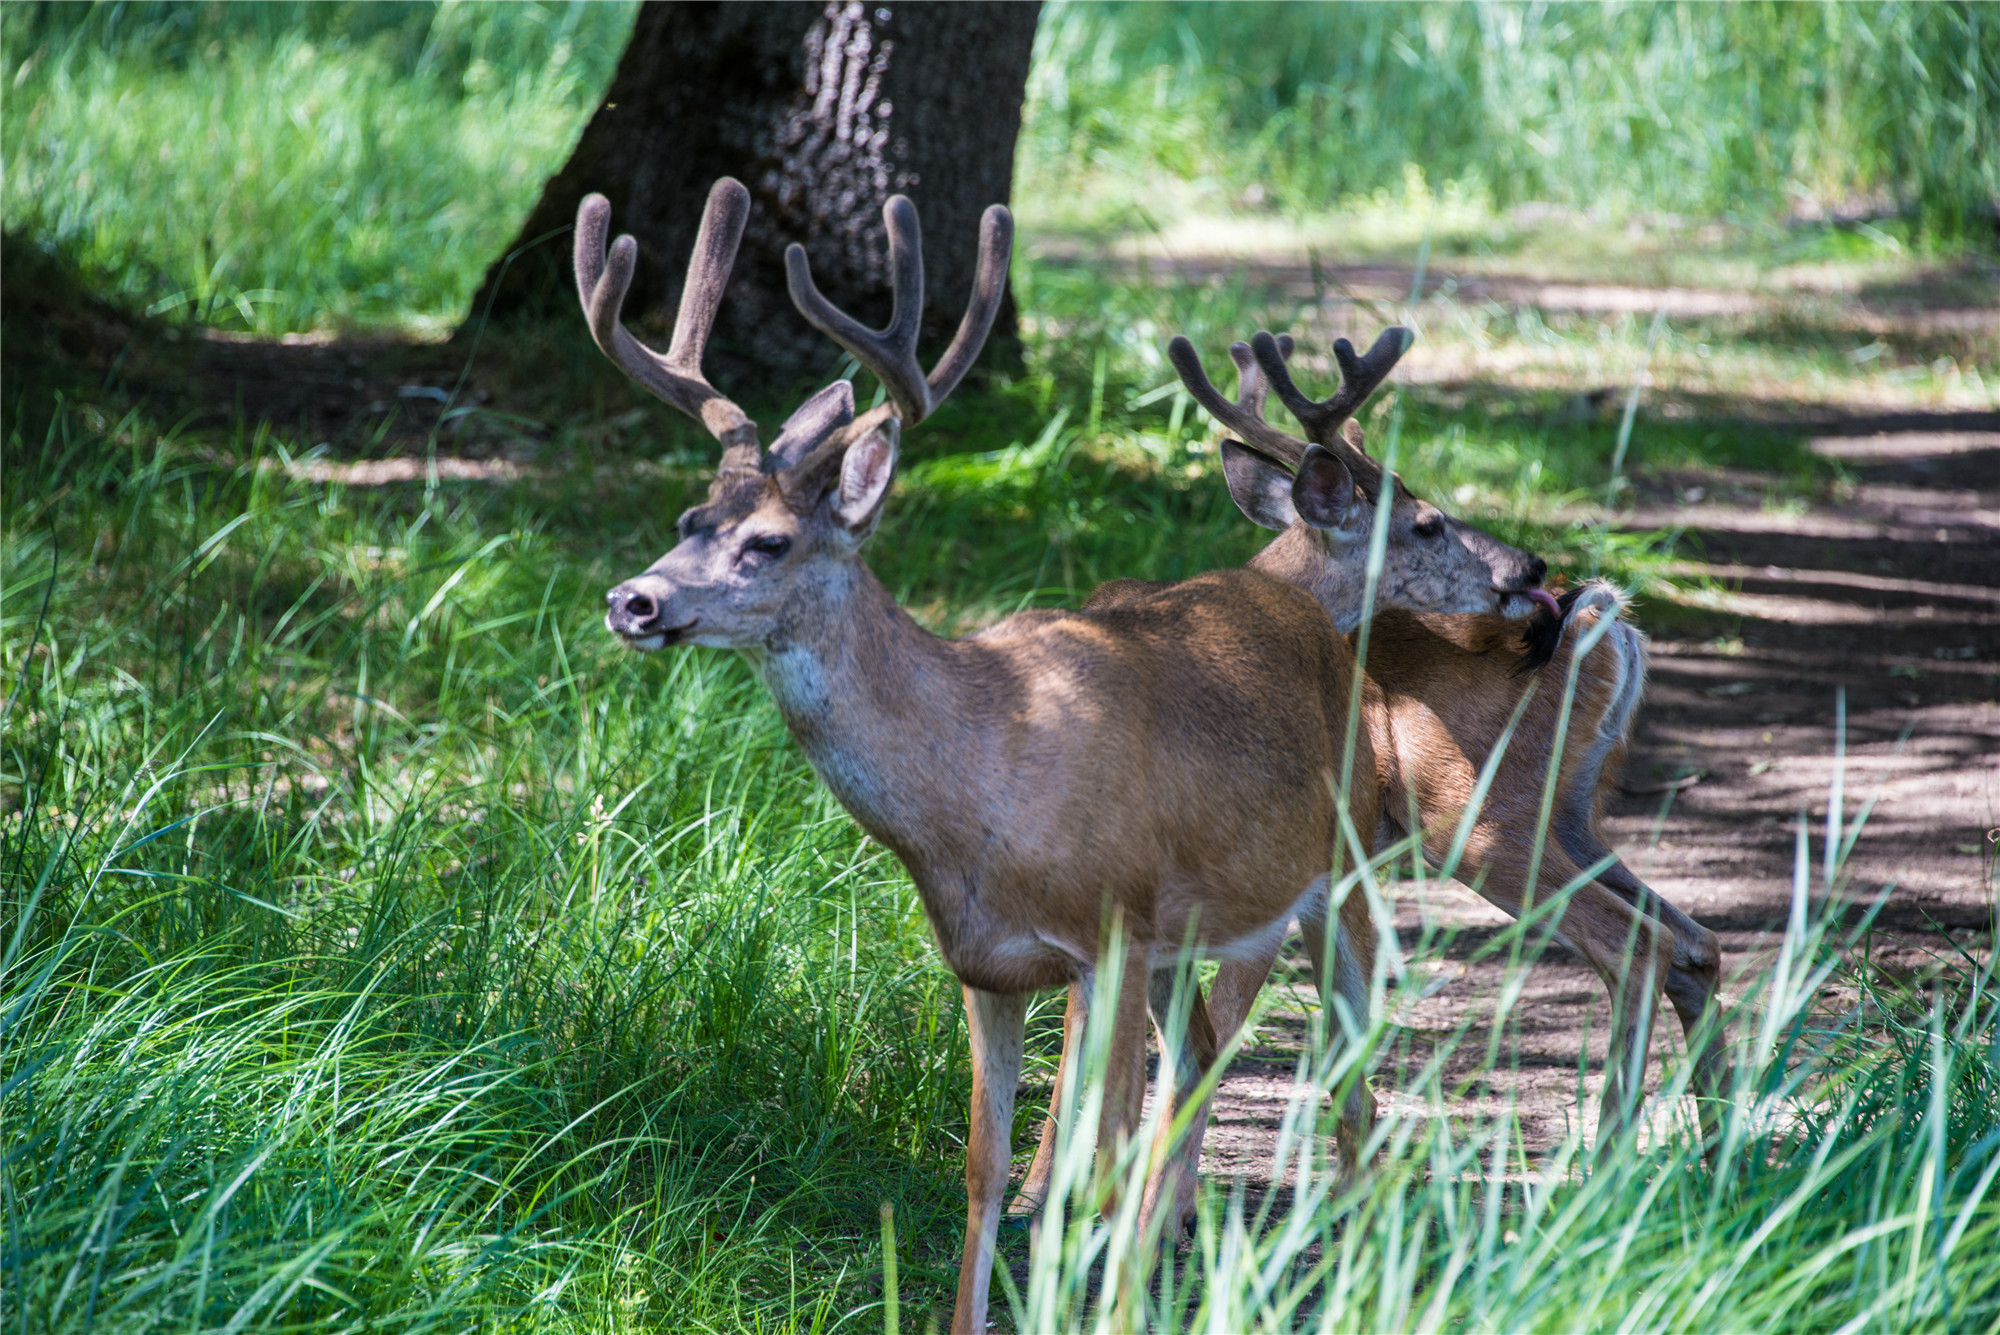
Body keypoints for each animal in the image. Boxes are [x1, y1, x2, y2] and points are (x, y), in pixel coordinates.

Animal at [580, 176, 1392, 1335]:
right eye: (691, 515)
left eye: (766, 543)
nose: (632, 601)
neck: (979, 787)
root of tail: (1309, 612)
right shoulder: (985, 964)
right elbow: (987, 1169)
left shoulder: (1109, 931)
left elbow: (1091, 1164)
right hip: (1199, 935)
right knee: (1209, 1067)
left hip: (1346, 869)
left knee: (1356, 1074)